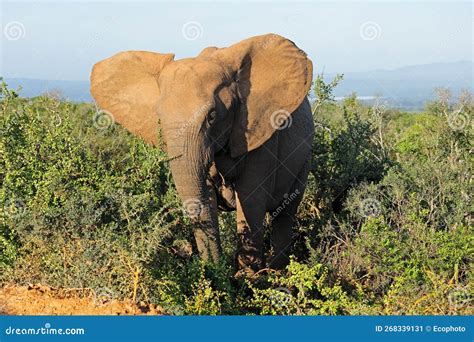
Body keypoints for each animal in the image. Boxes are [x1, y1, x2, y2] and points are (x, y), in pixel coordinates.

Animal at [91, 33, 314, 274]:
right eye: (159, 119)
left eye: (212, 116)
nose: (215, 271)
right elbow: (205, 195)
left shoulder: (262, 135)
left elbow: (250, 200)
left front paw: (249, 279)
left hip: (305, 158)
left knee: (285, 213)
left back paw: (277, 274)